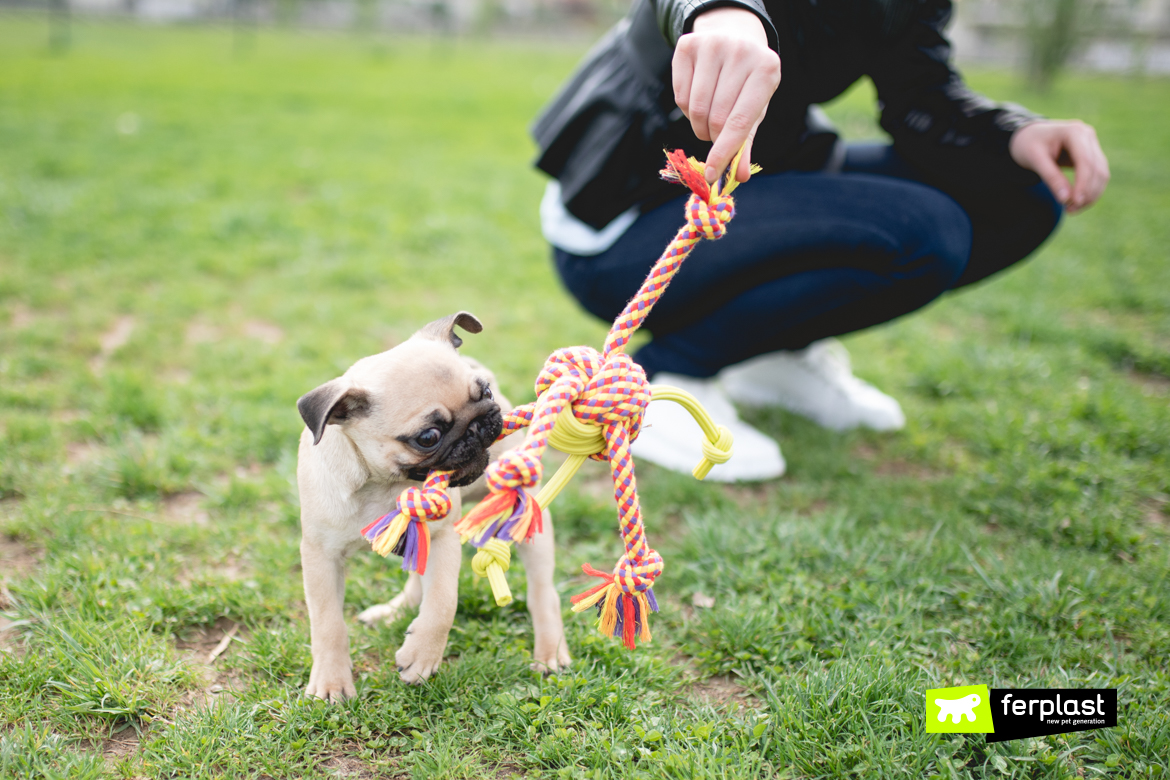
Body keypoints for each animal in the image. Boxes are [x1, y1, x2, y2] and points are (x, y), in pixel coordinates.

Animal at [297, 311, 570, 701]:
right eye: (428, 437)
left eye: (485, 392)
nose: (478, 425)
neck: (381, 484)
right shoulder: (321, 555)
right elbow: (327, 622)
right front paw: (332, 681)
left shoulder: (443, 538)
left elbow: (442, 602)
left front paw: (422, 656)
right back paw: (395, 612)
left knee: (542, 592)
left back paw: (549, 651)